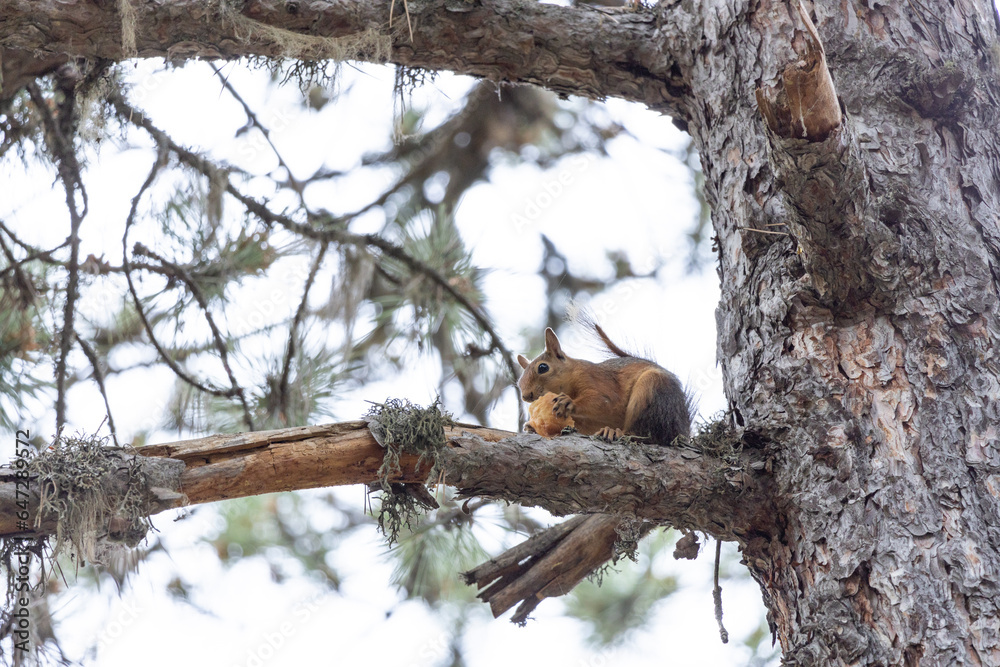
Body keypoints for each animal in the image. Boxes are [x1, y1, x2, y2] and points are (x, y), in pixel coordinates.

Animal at [517, 324, 691, 445]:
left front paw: (569, 402)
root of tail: (684, 430)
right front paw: (531, 426)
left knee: (646, 434)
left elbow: (602, 401)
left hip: (652, 389)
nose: (526, 396)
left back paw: (615, 432)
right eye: (519, 382)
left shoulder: (593, 379)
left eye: (543, 367)